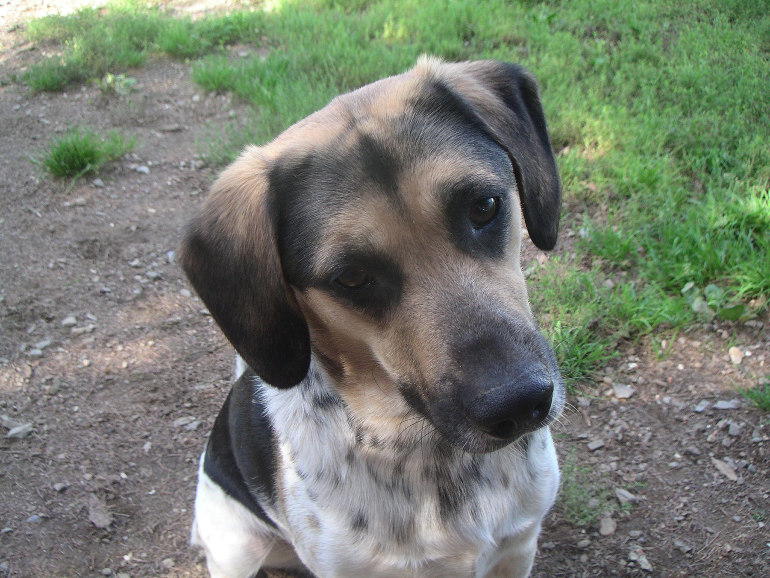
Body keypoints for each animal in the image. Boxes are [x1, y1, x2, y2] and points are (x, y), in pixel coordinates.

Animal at [180, 56, 564, 578]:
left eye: (484, 206)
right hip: (235, 547)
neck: (432, 455)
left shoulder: (517, 548)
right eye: (353, 276)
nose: (520, 404)